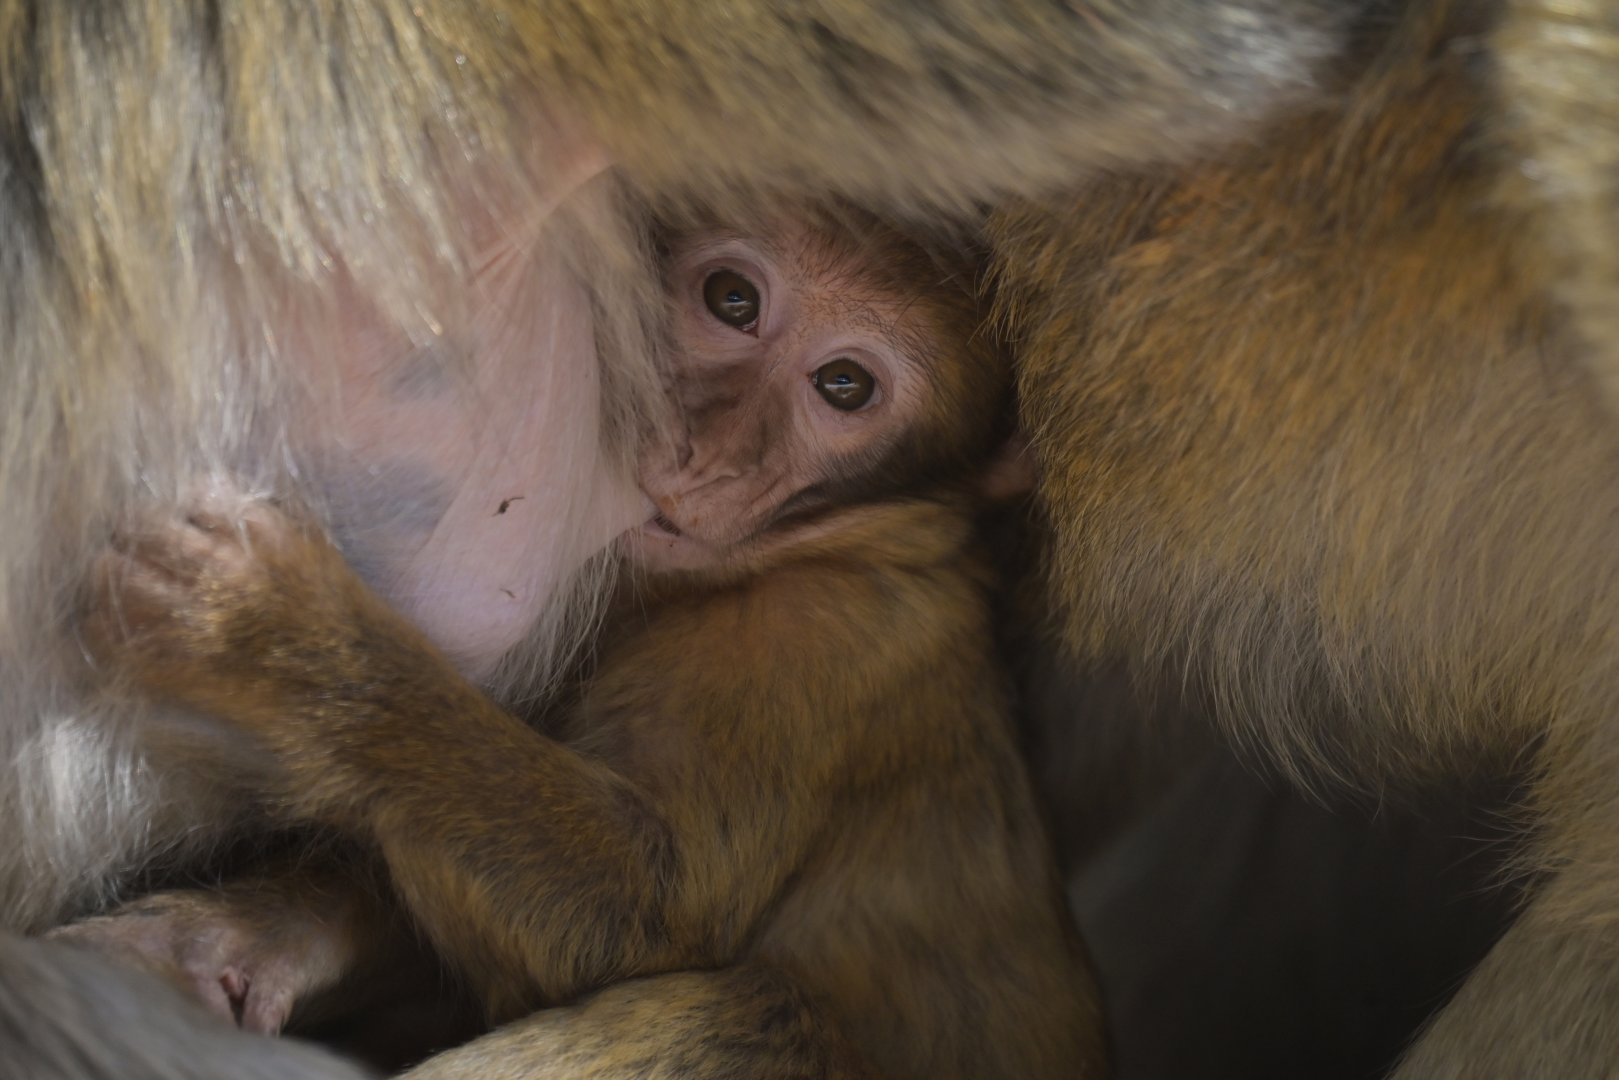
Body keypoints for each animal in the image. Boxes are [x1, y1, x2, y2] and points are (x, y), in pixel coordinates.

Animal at [56, 210, 1104, 1079]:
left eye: (844, 386)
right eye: (733, 300)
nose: (698, 446)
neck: (817, 546)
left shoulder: (815, 640)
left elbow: (643, 910)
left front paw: (281, 639)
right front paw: (235, 935)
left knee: (753, 1016)